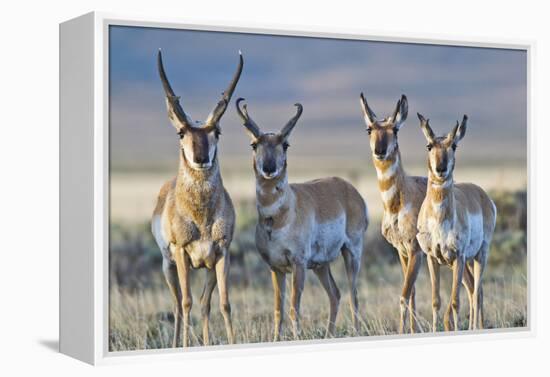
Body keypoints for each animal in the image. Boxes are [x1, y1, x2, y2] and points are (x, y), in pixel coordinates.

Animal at [152, 50, 245, 346]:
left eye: (217, 132)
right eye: (181, 132)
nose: (201, 158)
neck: (201, 217)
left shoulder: (221, 254)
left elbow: (223, 303)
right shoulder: (181, 254)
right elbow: (186, 303)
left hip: (205, 268)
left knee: (205, 304)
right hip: (168, 266)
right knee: (177, 304)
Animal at [235, 98, 368, 340]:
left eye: (285, 144)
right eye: (254, 144)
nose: (269, 168)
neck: (278, 219)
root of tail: (349, 189)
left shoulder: (297, 264)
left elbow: (293, 307)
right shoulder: (276, 268)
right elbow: (278, 309)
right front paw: (276, 339)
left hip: (351, 253)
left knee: (353, 295)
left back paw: (355, 332)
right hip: (320, 265)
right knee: (335, 294)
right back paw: (329, 335)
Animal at [418, 113, 500, 330]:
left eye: (454, 145)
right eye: (429, 145)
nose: (441, 168)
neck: (439, 221)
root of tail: (482, 195)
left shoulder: (459, 256)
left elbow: (455, 302)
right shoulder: (433, 258)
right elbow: (436, 301)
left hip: (479, 255)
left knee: (477, 292)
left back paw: (477, 328)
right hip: (465, 264)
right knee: (474, 290)